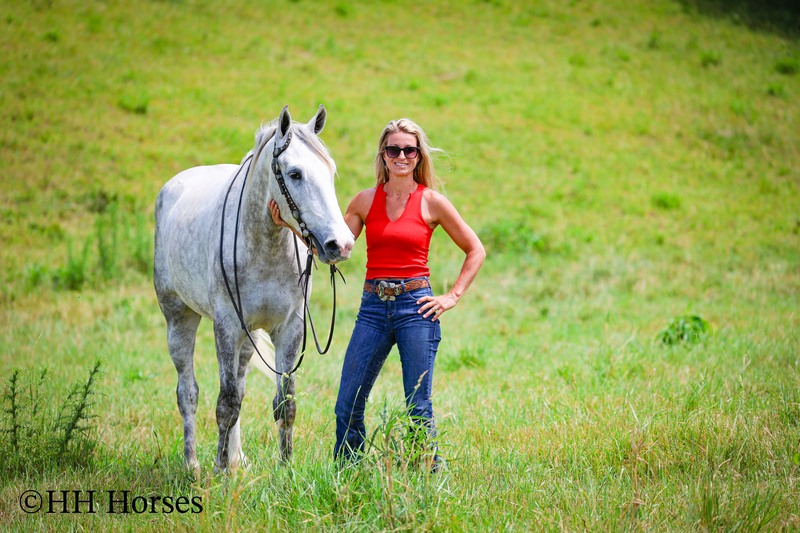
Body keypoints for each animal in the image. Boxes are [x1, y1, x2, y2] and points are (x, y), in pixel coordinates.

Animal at [154, 105, 354, 471]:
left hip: (247, 340)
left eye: (330, 173)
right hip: (179, 319)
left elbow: (285, 403)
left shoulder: (290, 328)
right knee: (187, 393)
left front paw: (285, 469)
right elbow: (225, 403)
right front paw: (219, 472)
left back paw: (237, 458)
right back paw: (193, 464)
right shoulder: (227, 327)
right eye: (294, 174)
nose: (341, 244)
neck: (266, 245)